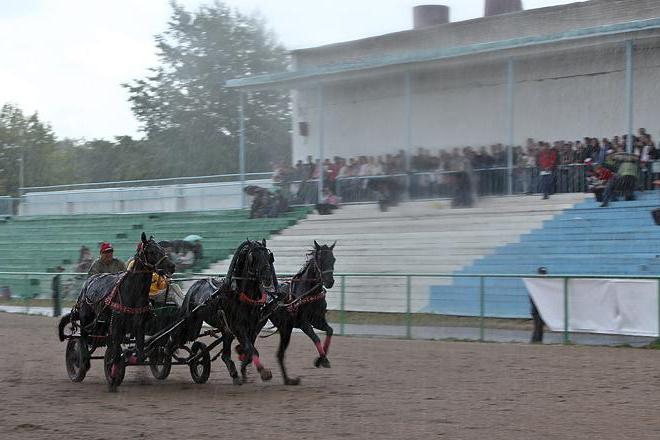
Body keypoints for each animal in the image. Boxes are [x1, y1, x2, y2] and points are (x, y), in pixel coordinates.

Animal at [58, 234, 174, 392]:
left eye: (162, 249)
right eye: (151, 251)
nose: (172, 266)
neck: (132, 292)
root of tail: (88, 283)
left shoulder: (140, 326)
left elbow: (140, 353)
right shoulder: (117, 325)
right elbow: (114, 354)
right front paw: (113, 378)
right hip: (86, 319)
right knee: (82, 340)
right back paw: (82, 362)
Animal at [174, 239, 274, 384]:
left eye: (268, 256)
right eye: (253, 257)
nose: (267, 277)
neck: (241, 296)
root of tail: (194, 286)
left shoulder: (252, 327)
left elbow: (249, 350)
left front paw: (243, 370)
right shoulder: (238, 327)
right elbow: (251, 349)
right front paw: (263, 372)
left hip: (224, 330)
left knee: (224, 355)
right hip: (190, 325)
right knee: (174, 340)